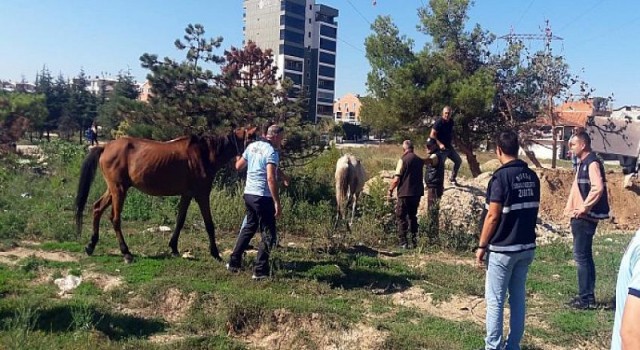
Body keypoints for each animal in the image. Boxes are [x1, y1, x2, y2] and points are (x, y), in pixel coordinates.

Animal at [75, 128, 255, 262]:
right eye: (254, 138)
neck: (204, 153)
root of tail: (106, 147)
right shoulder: (201, 194)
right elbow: (209, 224)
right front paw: (215, 253)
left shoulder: (187, 195)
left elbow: (180, 221)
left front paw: (174, 247)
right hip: (119, 190)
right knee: (115, 218)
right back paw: (126, 252)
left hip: (114, 189)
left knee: (97, 208)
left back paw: (91, 245)